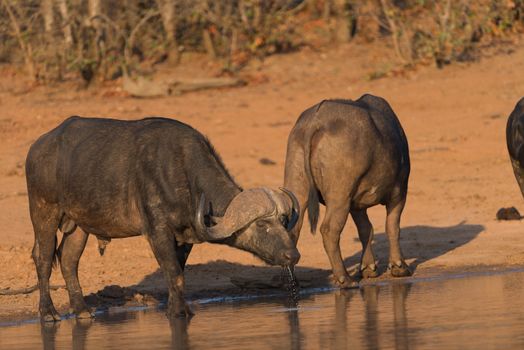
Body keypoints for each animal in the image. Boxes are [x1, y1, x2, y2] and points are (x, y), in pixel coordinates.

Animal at [26, 116, 300, 322]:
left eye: (283, 220)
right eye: (262, 224)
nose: (293, 255)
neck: (183, 172)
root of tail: (38, 146)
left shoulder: (185, 237)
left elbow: (177, 273)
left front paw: (178, 308)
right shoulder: (157, 231)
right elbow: (173, 272)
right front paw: (178, 312)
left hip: (79, 225)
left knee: (68, 259)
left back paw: (82, 310)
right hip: (43, 212)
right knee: (43, 257)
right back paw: (48, 313)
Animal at [284, 93, 412, 288]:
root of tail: (314, 123)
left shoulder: (356, 205)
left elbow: (366, 230)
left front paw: (368, 268)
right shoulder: (399, 193)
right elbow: (392, 227)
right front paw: (399, 266)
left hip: (298, 185)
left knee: (292, 230)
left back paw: (293, 282)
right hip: (340, 196)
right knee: (329, 230)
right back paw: (344, 277)